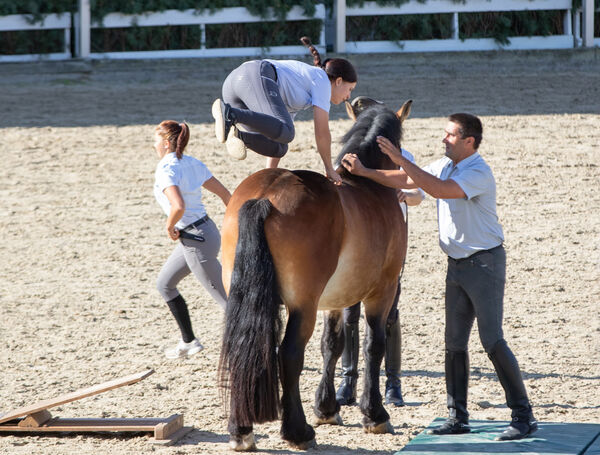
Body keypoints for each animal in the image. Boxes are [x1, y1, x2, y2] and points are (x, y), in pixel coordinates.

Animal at [219, 100, 412, 452]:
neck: (370, 185)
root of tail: (266, 196)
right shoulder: (382, 291)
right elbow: (373, 345)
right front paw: (374, 414)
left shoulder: (334, 300)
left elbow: (332, 345)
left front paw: (326, 408)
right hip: (303, 305)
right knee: (289, 354)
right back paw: (298, 431)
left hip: (241, 295)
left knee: (241, 348)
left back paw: (241, 430)